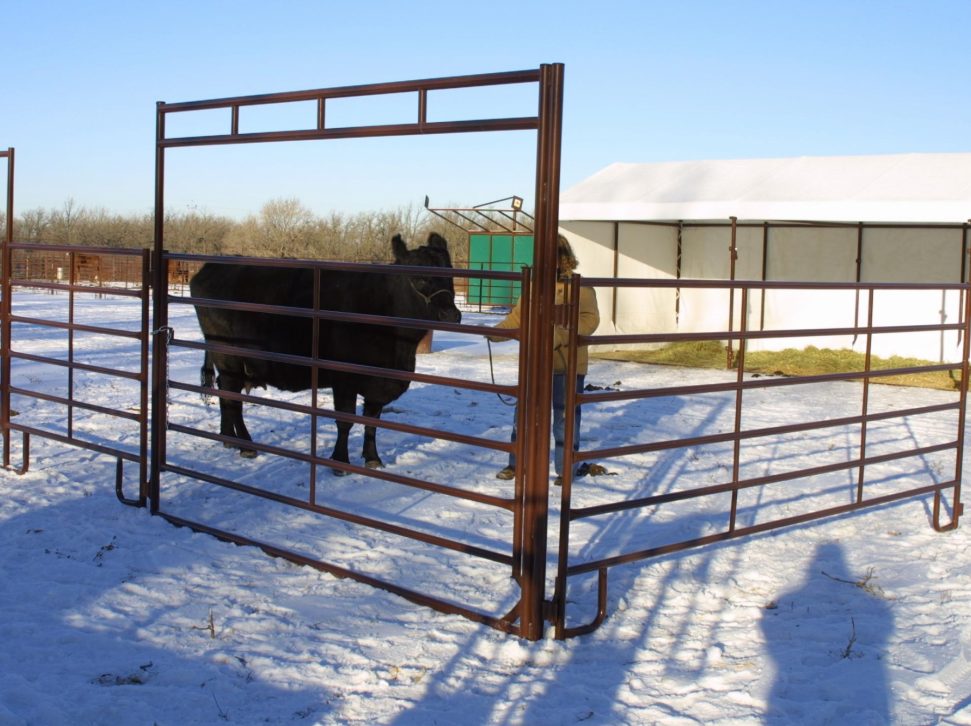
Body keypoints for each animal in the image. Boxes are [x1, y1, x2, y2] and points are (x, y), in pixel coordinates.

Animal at [189, 232, 462, 473]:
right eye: (419, 277)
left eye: (449, 273)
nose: (451, 315)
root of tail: (211, 267)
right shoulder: (344, 379)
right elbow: (346, 421)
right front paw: (340, 462)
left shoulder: (378, 383)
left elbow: (372, 421)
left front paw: (373, 458)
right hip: (229, 358)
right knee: (232, 397)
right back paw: (245, 444)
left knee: (225, 393)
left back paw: (228, 437)